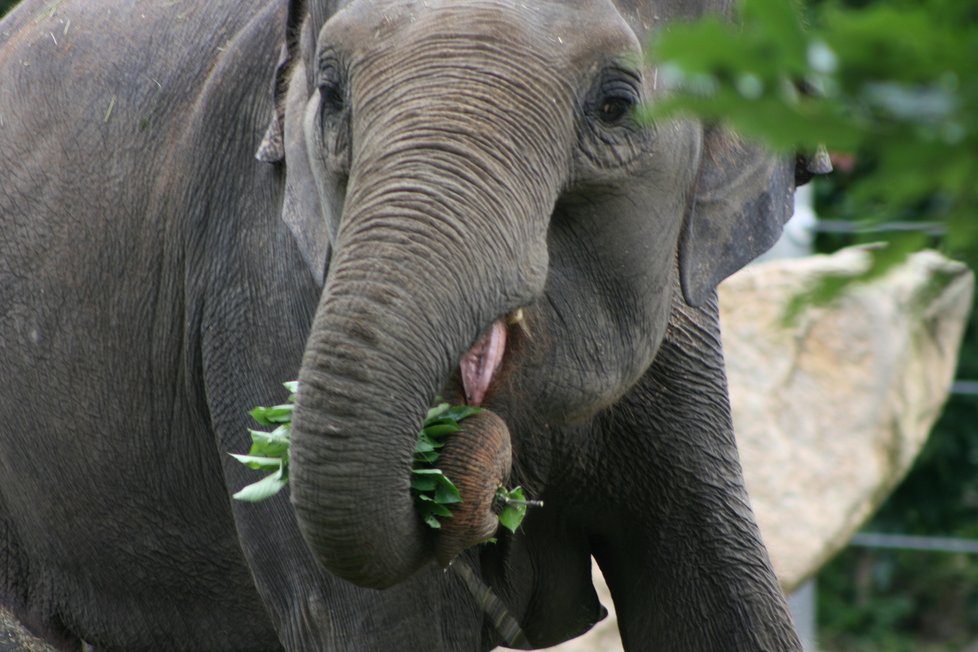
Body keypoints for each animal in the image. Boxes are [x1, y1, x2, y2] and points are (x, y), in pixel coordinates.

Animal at [0, 0, 808, 648]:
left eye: (615, 105)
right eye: (331, 96)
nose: (495, 501)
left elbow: (716, 597)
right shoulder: (262, 274)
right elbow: (378, 621)